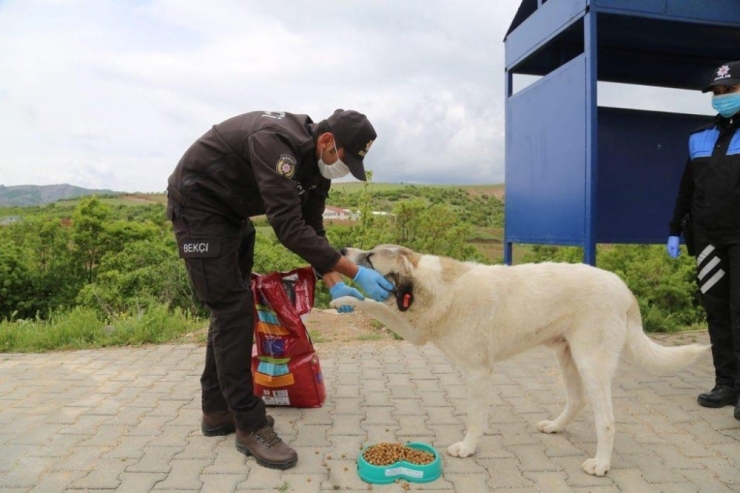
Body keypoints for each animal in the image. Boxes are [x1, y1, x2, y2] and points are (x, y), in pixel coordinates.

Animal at [330, 244, 712, 474]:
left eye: (370, 257)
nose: (342, 251)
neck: (435, 287)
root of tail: (624, 289)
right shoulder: (414, 332)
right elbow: (375, 305)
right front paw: (342, 299)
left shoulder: (478, 372)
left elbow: (475, 419)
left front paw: (468, 448)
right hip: (567, 356)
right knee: (577, 400)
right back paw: (555, 427)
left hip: (591, 362)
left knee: (606, 419)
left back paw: (601, 464)